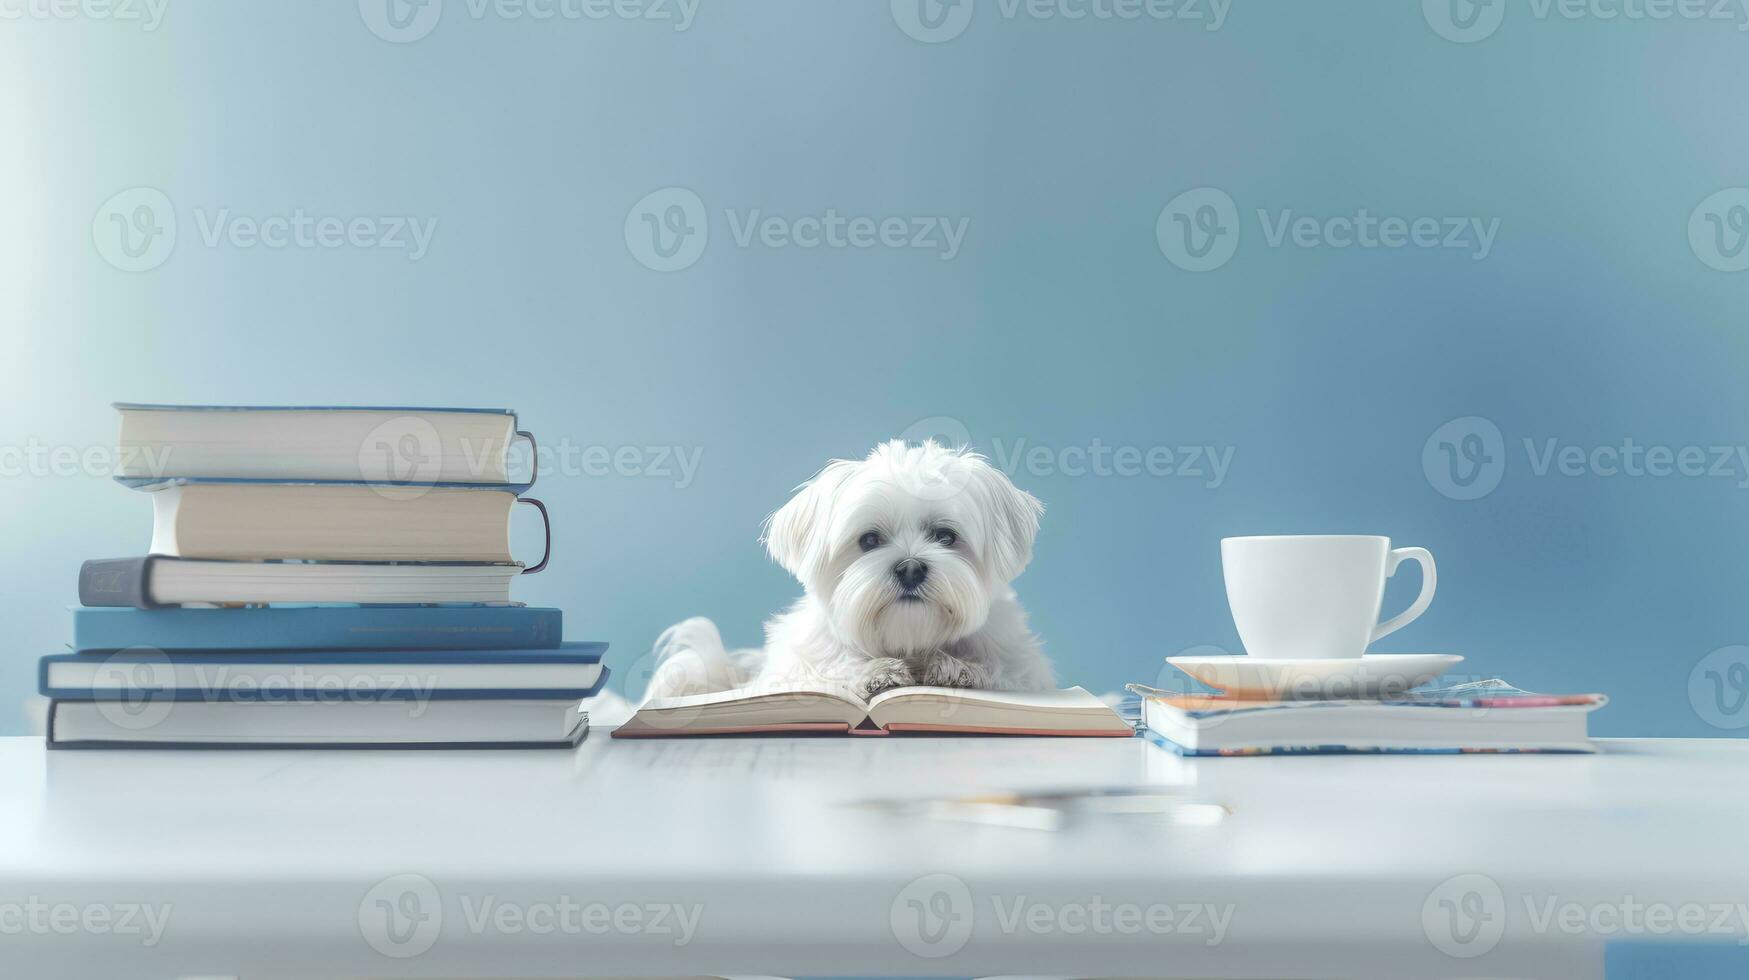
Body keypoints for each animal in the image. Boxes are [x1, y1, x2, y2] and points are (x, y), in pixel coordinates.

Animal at [643, 441, 1049, 700]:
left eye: (946, 536)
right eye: (869, 540)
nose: (910, 568)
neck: (911, 642)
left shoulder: (1022, 663)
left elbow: (1002, 671)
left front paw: (958, 668)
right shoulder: (797, 663)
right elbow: (828, 667)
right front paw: (875, 672)